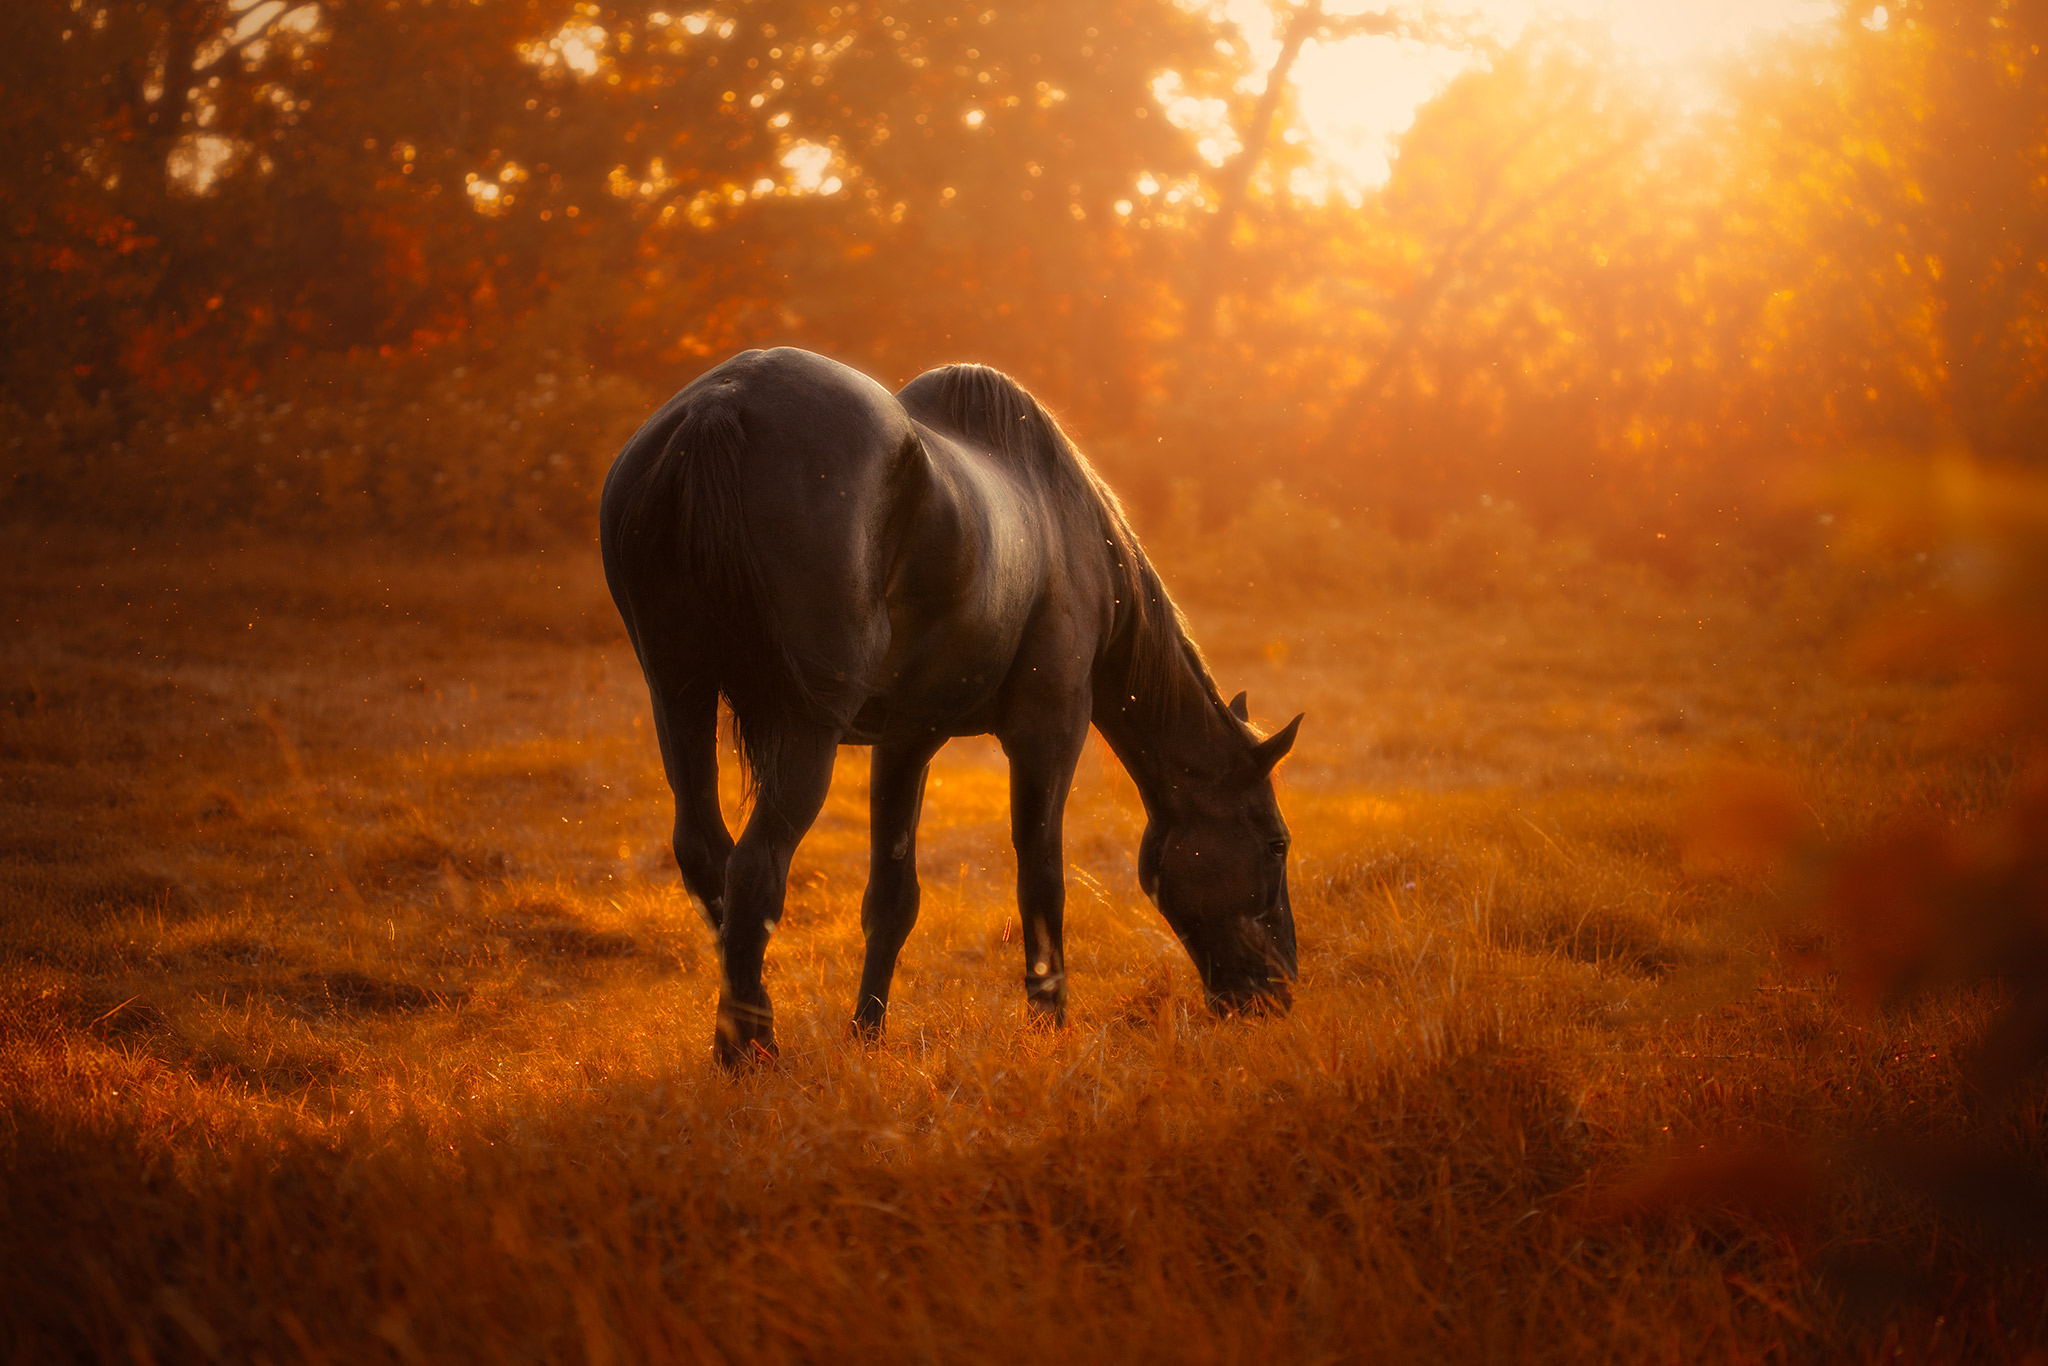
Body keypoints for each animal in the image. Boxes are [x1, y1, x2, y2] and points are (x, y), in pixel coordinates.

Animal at [599, 347, 1302, 1068]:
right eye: (1276, 844)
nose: (1279, 994)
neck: (1068, 530)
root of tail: (721, 407)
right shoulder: (1050, 728)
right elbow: (1041, 880)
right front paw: (1050, 1023)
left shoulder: (906, 740)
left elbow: (892, 899)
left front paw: (868, 1034)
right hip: (804, 732)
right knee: (755, 868)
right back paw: (751, 1047)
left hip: (678, 696)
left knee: (704, 852)